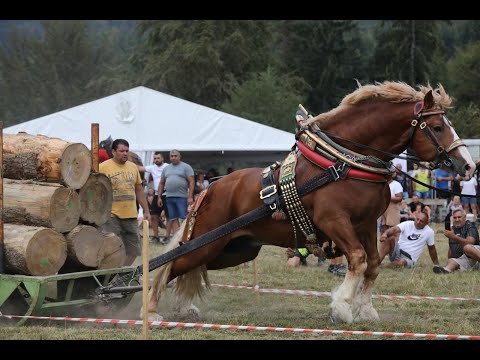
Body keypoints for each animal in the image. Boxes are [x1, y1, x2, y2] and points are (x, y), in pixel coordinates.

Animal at [144, 81, 474, 324]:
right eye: (439, 127)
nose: (468, 166)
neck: (341, 163)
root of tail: (209, 189)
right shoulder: (334, 220)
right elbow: (357, 259)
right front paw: (341, 308)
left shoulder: (367, 224)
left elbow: (372, 265)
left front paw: (365, 310)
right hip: (209, 243)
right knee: (171, 265)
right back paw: (151, 310)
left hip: (233, 250)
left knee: (189, 269)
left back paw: (183, 307)